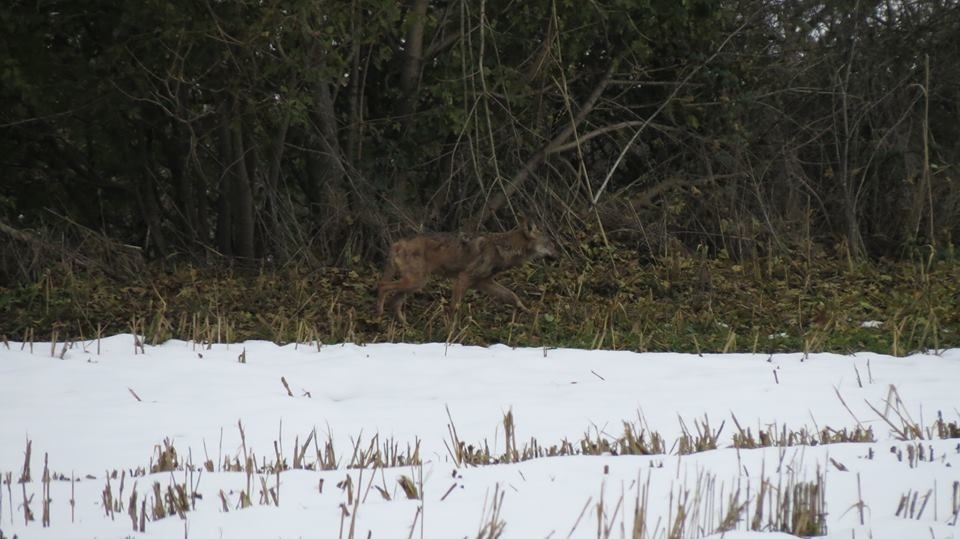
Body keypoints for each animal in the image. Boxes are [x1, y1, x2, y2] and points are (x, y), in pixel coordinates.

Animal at [376, 217, 556, 322]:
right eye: (549, 244)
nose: (558, 255)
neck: (500, 248)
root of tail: (397, 243)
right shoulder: (463, 278)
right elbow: (454, 308)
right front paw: (450, 331)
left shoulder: (484, 283)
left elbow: (513, 296)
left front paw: (530, 312)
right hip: (416, 281)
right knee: (383, 286)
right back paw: (378, 314)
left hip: (415, 284)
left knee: (395, 302)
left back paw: (405, 326)